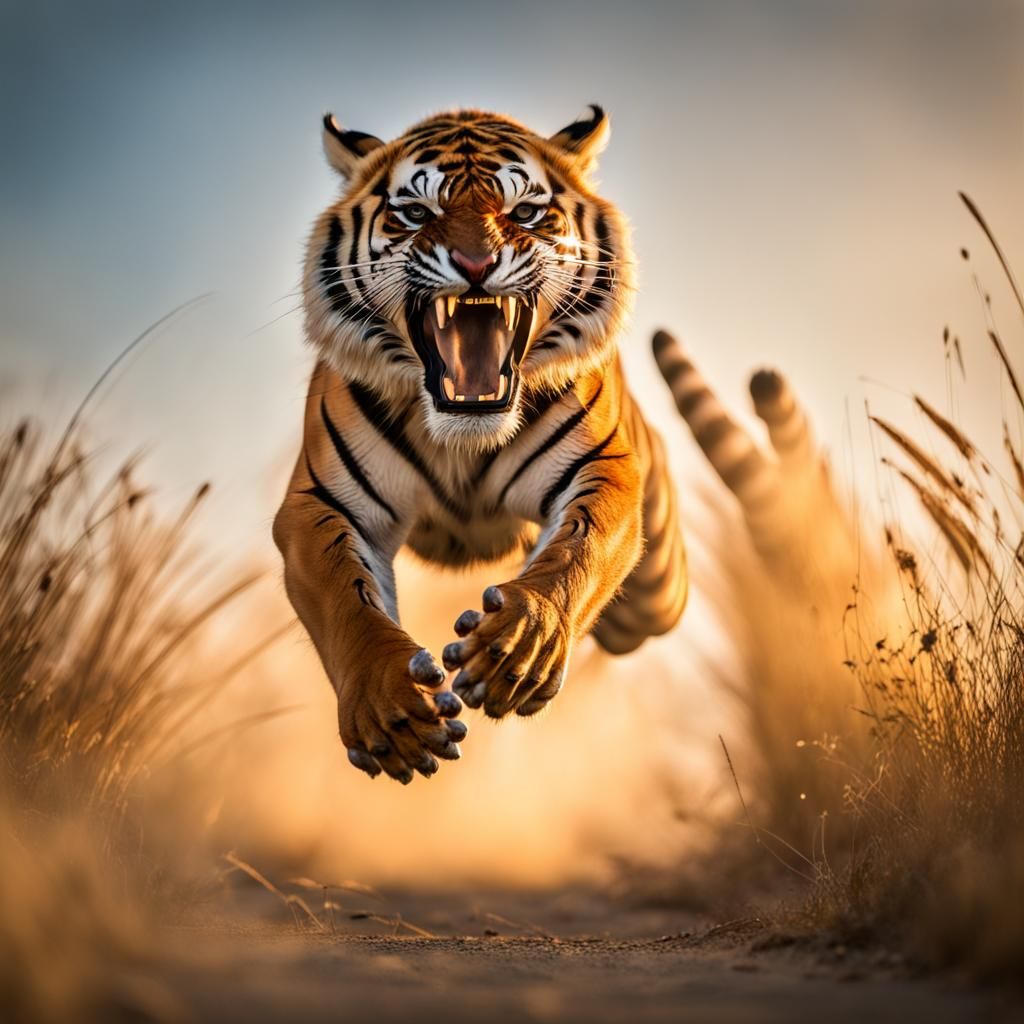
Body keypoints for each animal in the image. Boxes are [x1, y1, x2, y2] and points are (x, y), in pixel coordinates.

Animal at [273, 105, 688, 784]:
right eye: (417, 212)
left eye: (525, 212)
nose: (475, 264)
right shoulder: (319, 503)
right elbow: (347, 600)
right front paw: (390, 707)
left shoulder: (604, 469)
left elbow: (576, 551)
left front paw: (517, 649)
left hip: (660, 589)